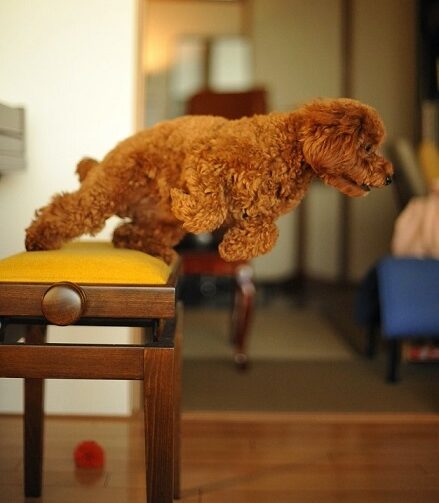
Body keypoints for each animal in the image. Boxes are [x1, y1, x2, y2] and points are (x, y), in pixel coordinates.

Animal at [24, 98, 396, 264]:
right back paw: (36, 239)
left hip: (163, 225)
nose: (391, 176)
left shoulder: (264, 213)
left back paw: (159, 251)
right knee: (70, 208)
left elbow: (266, 233)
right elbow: (210, 211)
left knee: (123, 234)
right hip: (110, 188)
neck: (287, 148)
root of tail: (106, 157)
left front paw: (233, 248)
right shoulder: (206, 160)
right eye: (367, 147)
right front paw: (188, 205)